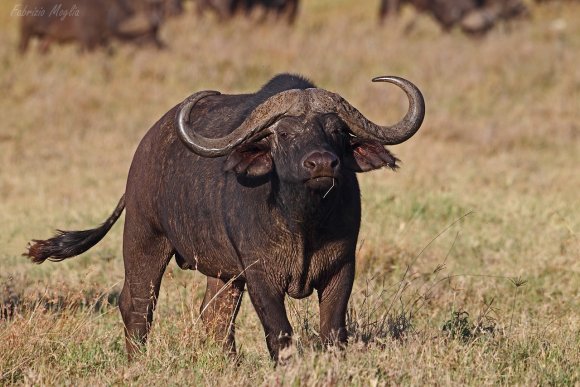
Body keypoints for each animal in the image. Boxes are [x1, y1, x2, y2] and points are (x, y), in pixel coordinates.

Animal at [18, 0, 163, 53]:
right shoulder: (87, 41)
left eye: (159, 39)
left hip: (48, 38)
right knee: (22, 49)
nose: (164, 48)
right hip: (26, 31)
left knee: (42, 49)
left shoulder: (101, 41)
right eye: (150, 39)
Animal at [24, 73, 426, 364]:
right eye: (283, 133)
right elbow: (280, 332)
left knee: (214, 316)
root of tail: (143, 152)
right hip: (143, 236)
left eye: (337, 130)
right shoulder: (260, 273)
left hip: (222, 273)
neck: (302, 222)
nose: (322, 164)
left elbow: (333, 331)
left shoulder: (342, 267)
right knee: (137, 304)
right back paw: (136, 362)